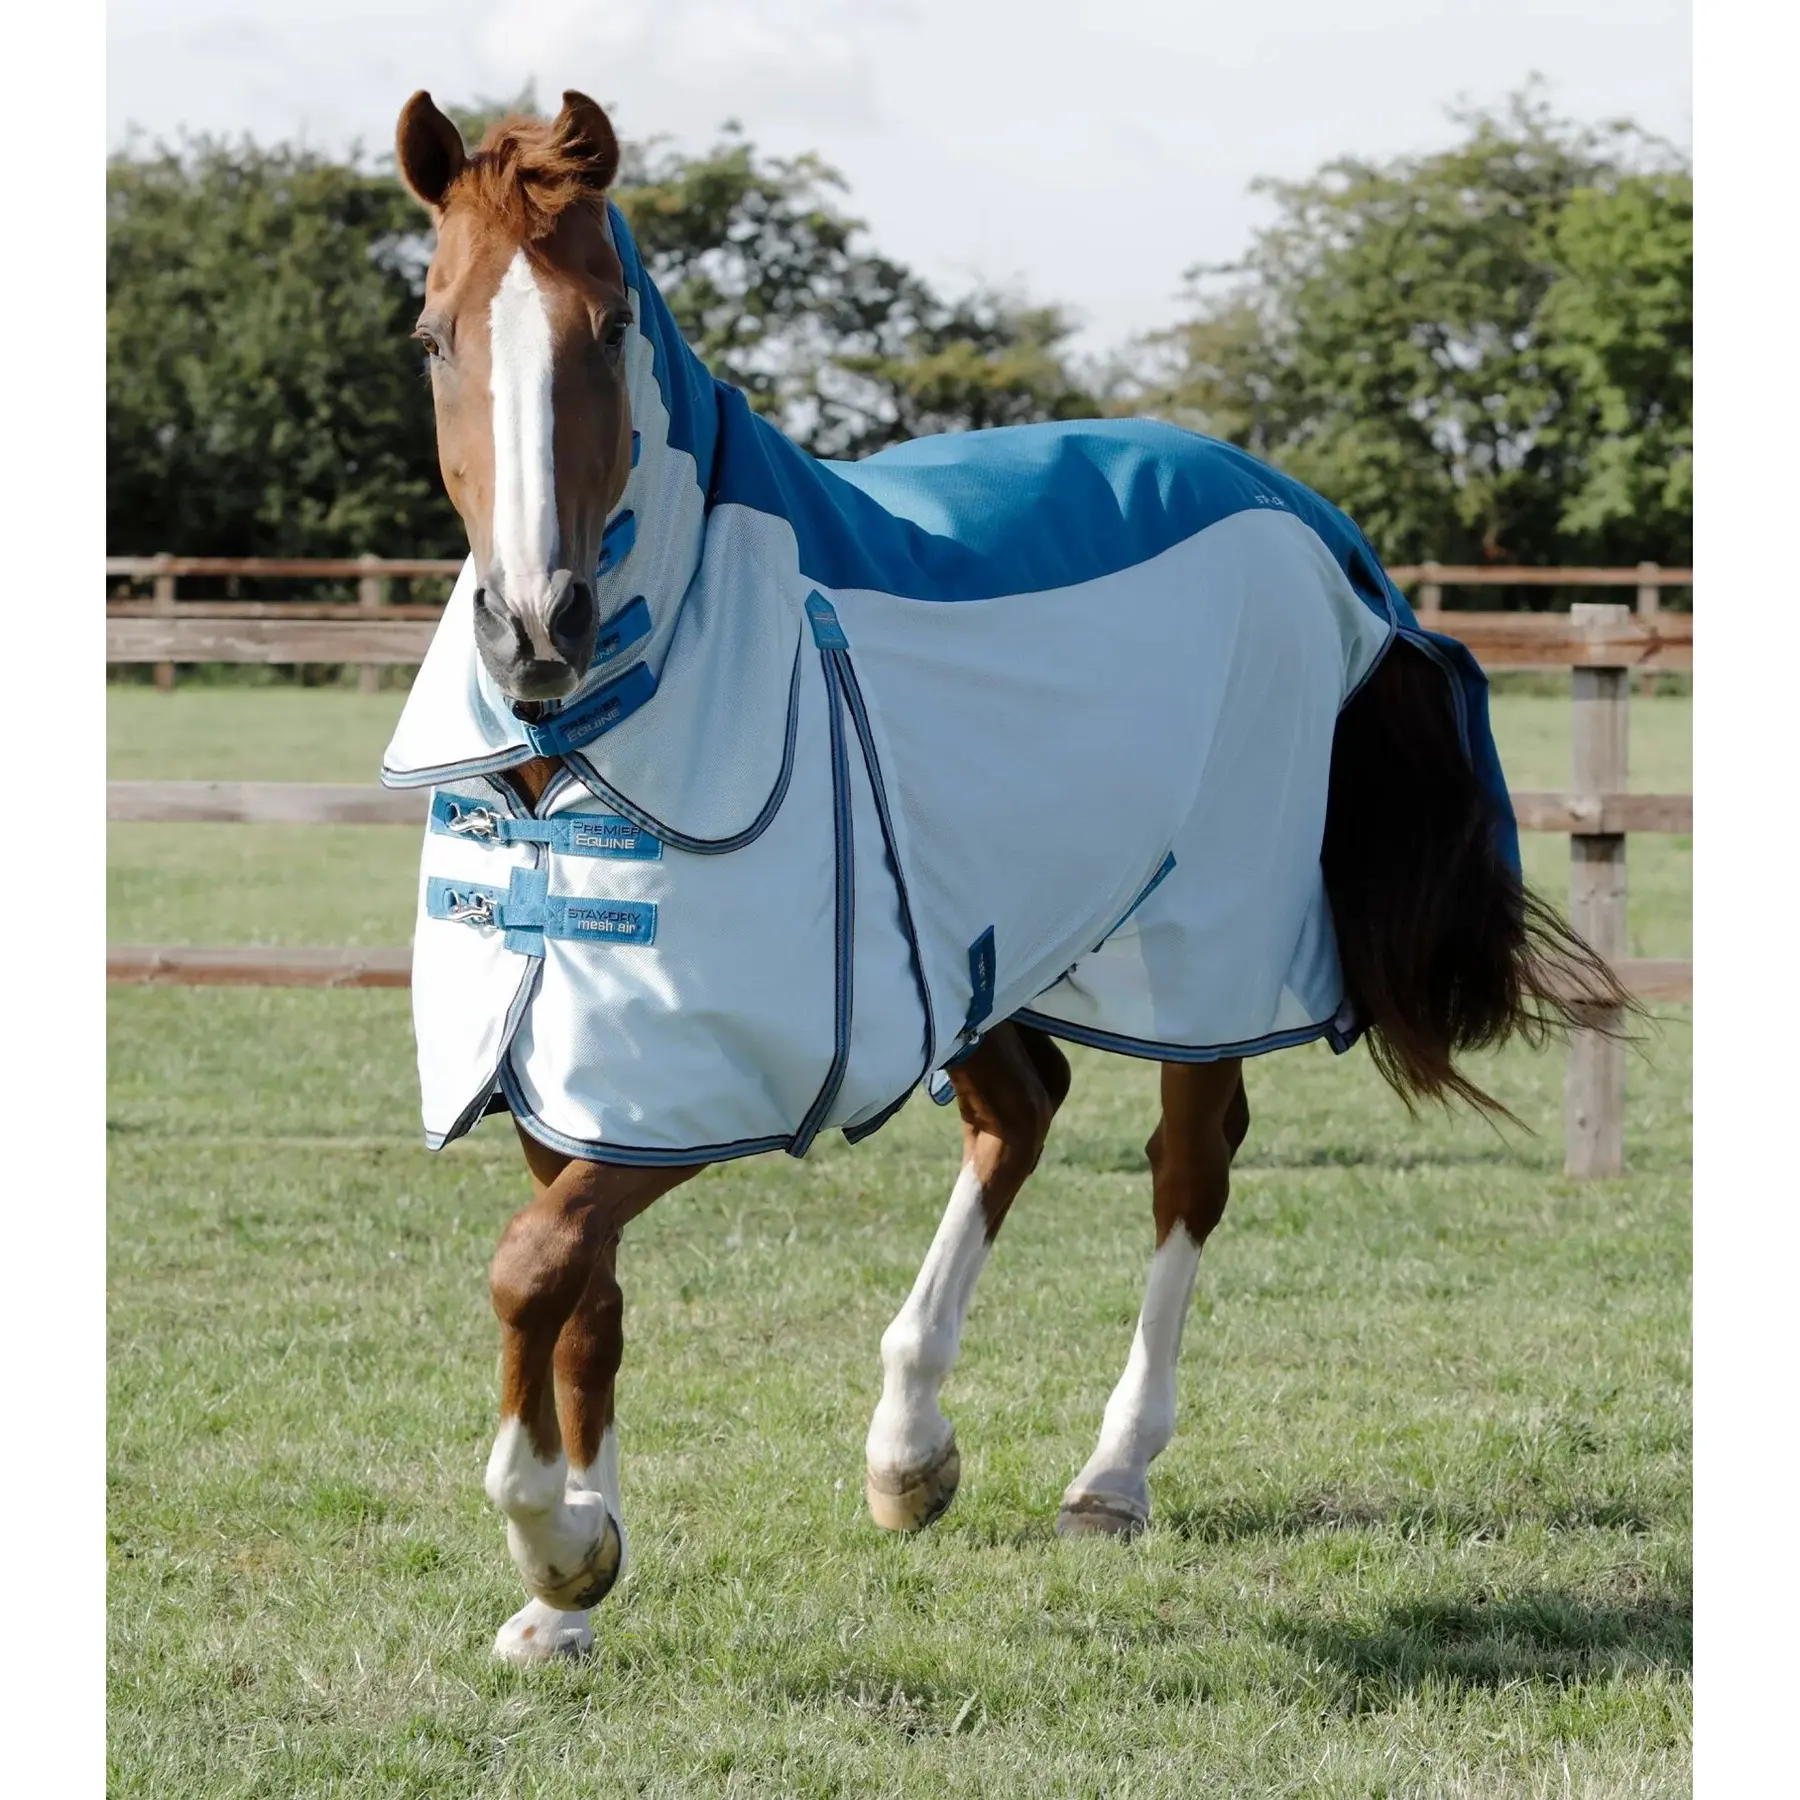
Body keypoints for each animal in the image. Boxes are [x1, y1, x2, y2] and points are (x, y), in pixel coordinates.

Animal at [384, 89, 1619, 1664]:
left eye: (606, 330)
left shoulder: (736, 1072)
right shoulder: (585, 1065)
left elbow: (532, 1267)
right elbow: (581, 1292)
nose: (537, 627)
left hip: (1200, 943)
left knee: (1189, 1164)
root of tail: (1311, 523)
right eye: (436, 334)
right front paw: (568, 1595)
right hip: (987, 942)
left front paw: (560, 1543)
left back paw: (1111, 1473)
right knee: (1022, 1112)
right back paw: (909, 1450)